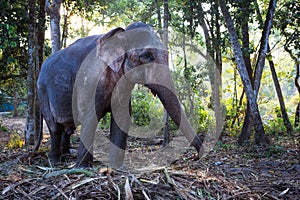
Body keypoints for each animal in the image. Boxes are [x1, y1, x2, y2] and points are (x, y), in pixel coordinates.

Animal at [36, 22, 203, 169]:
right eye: (147, 55)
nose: (195, 157)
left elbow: (122, 116)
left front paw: (118, 167)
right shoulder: (90, 80)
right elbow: (90, 117)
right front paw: (82, 167)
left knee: (67, 128)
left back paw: (66, 154)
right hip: (42, 91)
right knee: (55, 127)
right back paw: (54, 161)